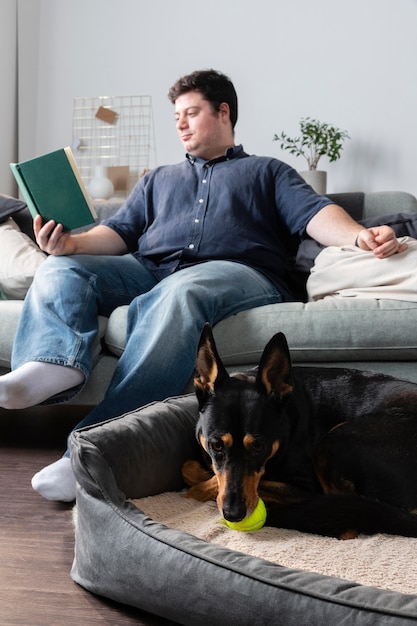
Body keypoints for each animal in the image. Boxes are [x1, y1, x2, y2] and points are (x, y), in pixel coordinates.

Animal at [182, 322, 417, 536]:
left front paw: (196, 490)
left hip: (333, 442)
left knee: (346, 521)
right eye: (216, 445)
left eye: (259, 447)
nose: (233, 514)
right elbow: (189, 467)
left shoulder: (306, 489)